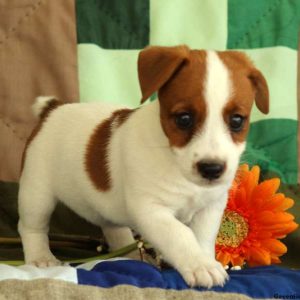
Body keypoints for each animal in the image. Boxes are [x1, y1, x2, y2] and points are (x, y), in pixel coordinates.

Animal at [17, 45, 268, 288]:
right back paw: (40, 256)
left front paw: (204, 259)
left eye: (237, 121)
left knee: (114, 229)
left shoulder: (210, 207)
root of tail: (53, 109)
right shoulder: (152, 211)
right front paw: (200, 265)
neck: (175, 163)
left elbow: (203, 238)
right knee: (31, 227)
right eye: (184, 119)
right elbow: (180, 234)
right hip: (36, 193)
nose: (212, 169)